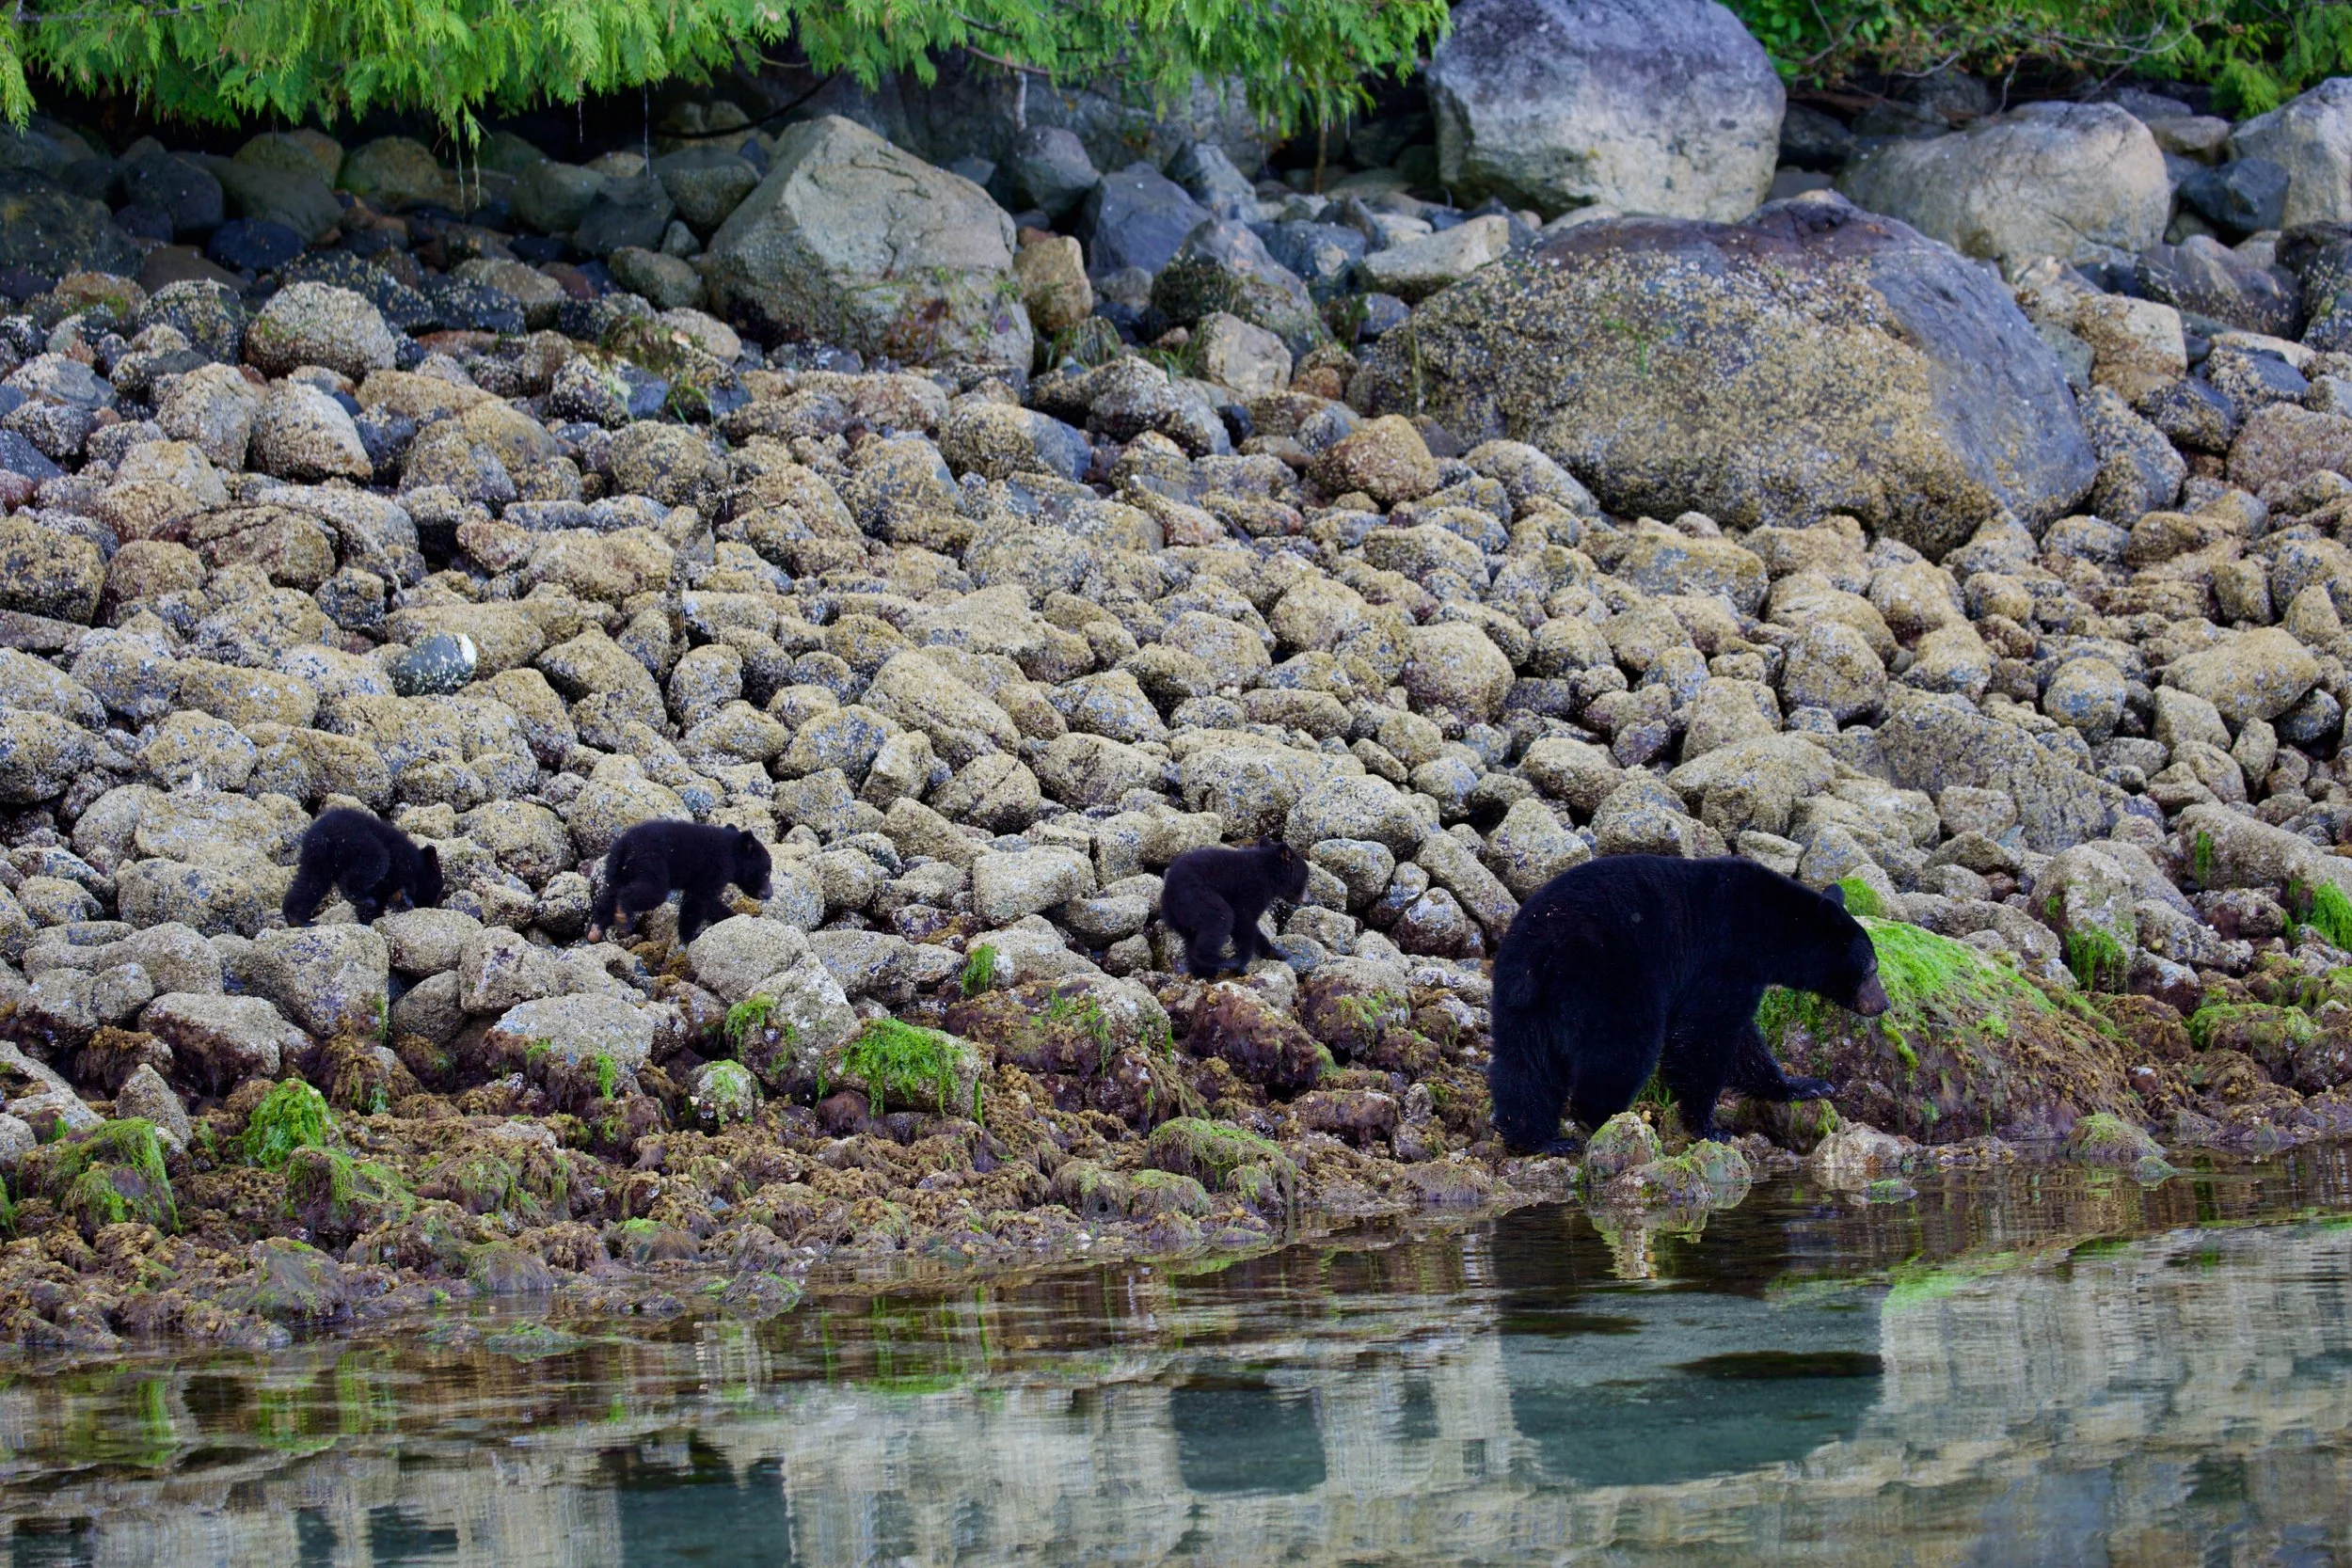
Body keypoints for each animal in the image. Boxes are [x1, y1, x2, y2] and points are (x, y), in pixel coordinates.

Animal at [282, 808, 444, 927]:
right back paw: (360, 897)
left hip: (316, 855)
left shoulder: (381, 889)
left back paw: (297, 919)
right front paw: (405, 900)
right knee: (375, 862)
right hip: (359, 840)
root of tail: (325, 830)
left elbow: (369, 911)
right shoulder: (402, 863)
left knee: (311, 883)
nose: (431, 905)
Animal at [586, 820, 775, 945]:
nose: (769, 893)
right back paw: (622, 913)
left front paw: (733, 916)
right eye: (767, 871)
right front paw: (689, 936)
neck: (732, 853)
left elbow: (709, 902)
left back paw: (595, 930)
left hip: (615, 868)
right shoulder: (715, 868)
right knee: (650, 893)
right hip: (652, 864)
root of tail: (626, 845)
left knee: (609, 893)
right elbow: (698, 901)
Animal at [1158, 838, 1310, 976]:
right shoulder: (1253, 890)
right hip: (1198, 897)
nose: (1309, 900)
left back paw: (1203, 971)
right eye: (1306, 879)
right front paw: (1243, 961)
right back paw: (1226, 962)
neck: (1269, 873)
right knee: (1220, 918)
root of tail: (1168, 891)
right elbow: (1243, 919)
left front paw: (1278, 953)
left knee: (1191, 940)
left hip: (1180, 916)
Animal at [1487, 855, 1889, 1153]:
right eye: (1872, 968)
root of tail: (1541, 952)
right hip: (1609, 977)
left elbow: (1742, 1042)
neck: (1770, 928)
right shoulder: (1723, 962)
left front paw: (1805, 1086)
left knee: (1524, 1063)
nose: (1883, 1004)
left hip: (1520, 998)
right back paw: (1605, 1116)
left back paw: (1539, 1140)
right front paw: (1709, 1128)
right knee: (1624, 1047)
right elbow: (1705, 1036)